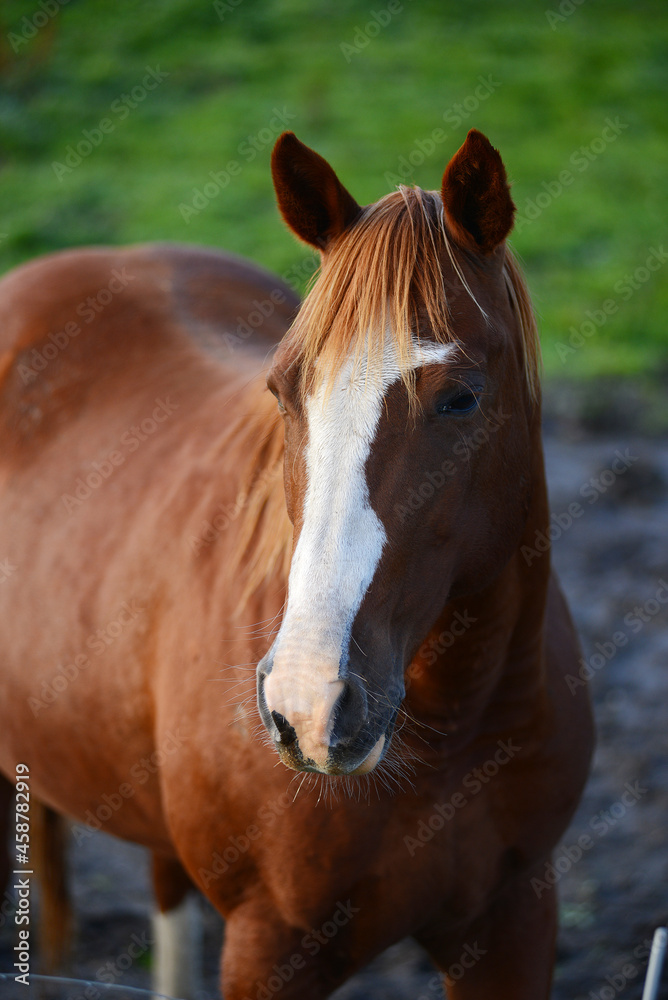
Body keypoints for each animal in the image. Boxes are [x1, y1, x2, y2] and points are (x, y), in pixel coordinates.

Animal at [0, 128, 594, 999]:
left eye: (461, 398)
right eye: (284, 391)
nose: (308, 706)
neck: (446, 740)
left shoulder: (515, 919)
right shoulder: (269, 947)